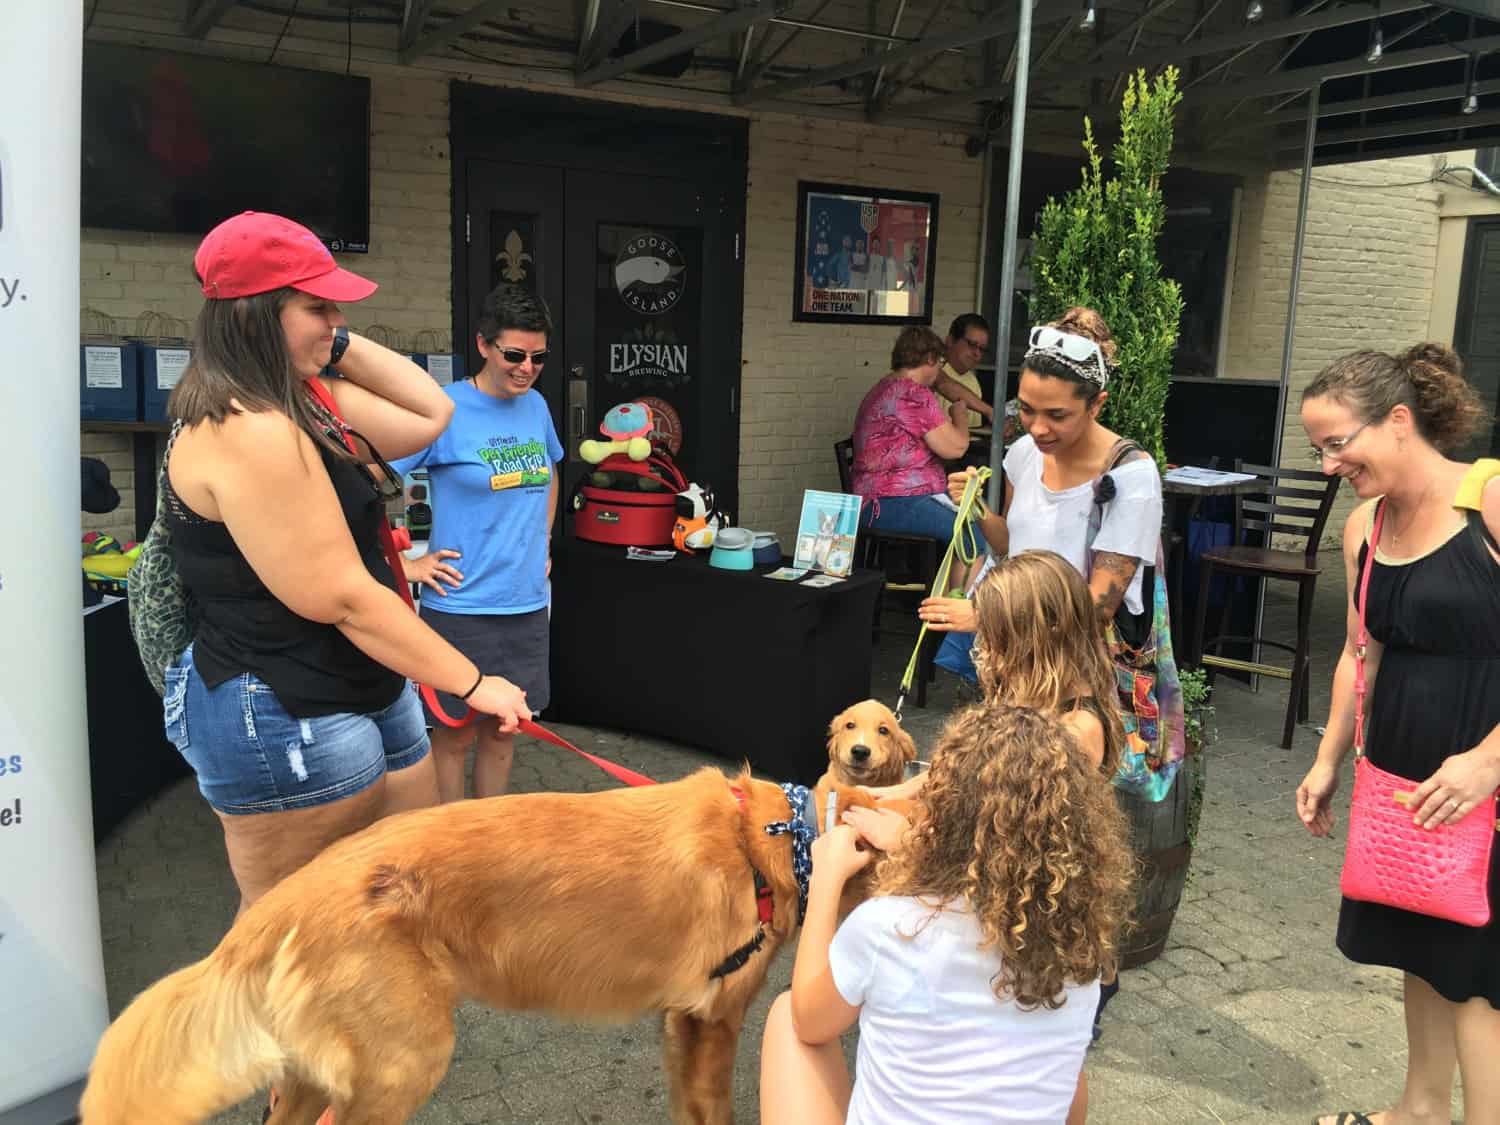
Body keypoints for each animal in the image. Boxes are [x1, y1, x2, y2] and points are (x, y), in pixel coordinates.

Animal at [76, 768, 882, 1125]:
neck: (771, 838)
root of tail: (280, 903)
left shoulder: (682, 1023)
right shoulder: (715, 1023)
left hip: (316, 1074)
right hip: (405, 1062)